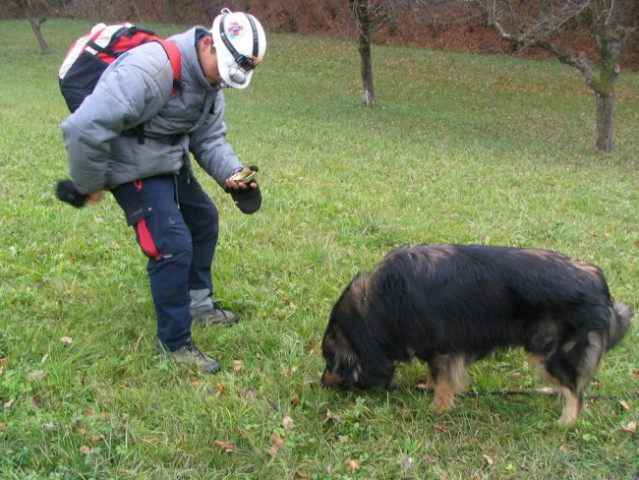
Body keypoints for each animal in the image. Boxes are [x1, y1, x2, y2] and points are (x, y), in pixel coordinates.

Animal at [322, 244, 632, 424]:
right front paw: (427, 387)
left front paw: (436, 410)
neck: (375, 303)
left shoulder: (443, 349)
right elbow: (437, 376)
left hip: (553, 355)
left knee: (576, 392)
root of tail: (599, 284)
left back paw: (565, 423)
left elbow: (444, 382)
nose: (322, 382)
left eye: (331, 362)